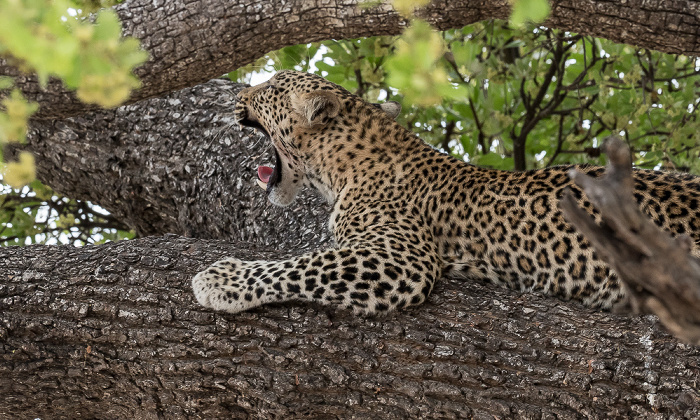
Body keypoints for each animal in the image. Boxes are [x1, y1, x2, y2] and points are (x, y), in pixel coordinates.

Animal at [194, 70, 700, 316]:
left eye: (270, 87)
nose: (240, 94)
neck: (342, 169)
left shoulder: (400, 256)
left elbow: (301, 265)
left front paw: (221, 279)